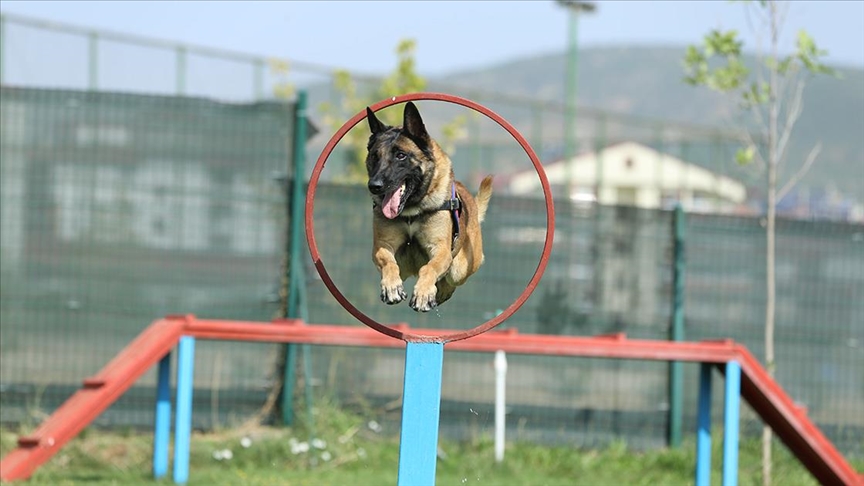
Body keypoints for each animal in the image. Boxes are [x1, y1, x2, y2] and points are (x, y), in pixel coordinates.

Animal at [364, 103, 492, 314]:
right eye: (374, 157)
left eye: (401, 155)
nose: (374, 186)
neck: (411, 210)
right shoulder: (382, 246)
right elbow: (388, 262)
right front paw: (391, 287)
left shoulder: (440, 250)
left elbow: (429, 268)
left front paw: (424, 294)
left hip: (461, 268)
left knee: (451, 277)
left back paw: (440, 291)